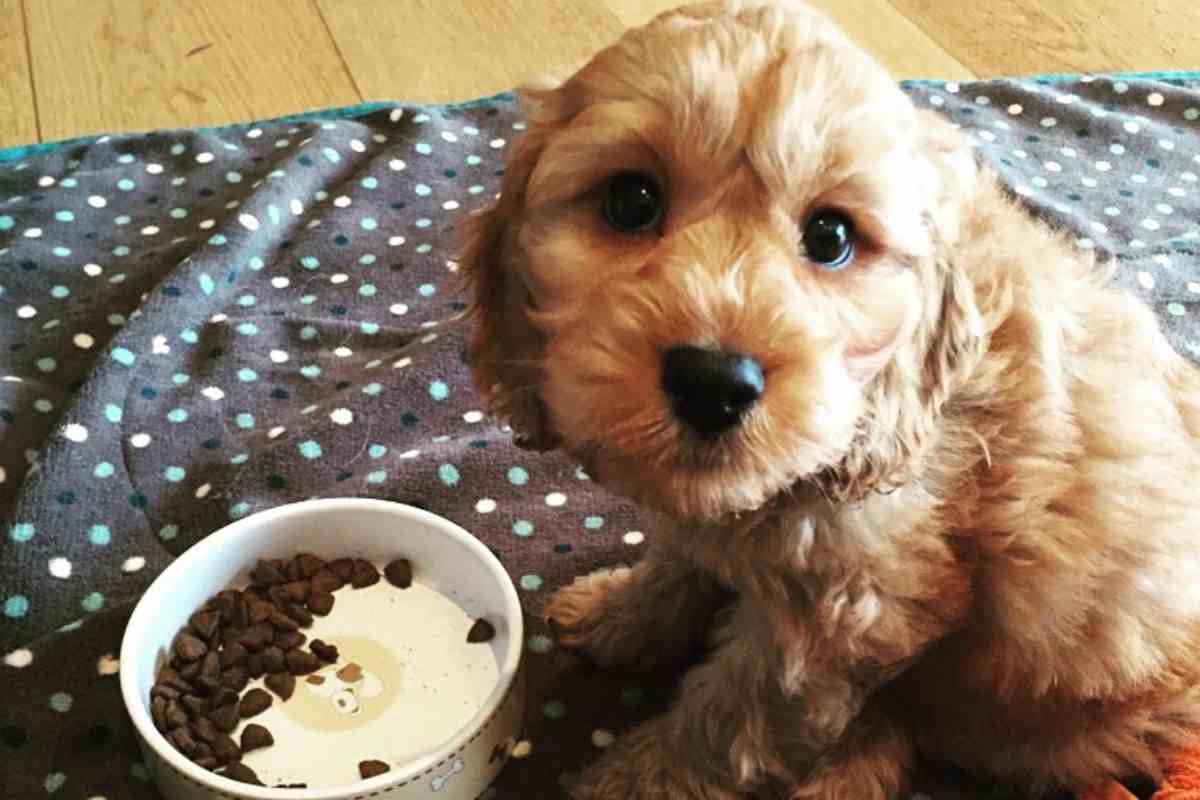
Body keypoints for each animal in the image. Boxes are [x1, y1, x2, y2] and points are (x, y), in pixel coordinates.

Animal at [460, 3, 1200, 796]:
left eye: (831, 236)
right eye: (630, 200)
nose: (714, 382)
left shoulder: (841, 622)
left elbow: (724, 720)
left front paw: (633, 780)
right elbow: (678, 558)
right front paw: (621, 612)